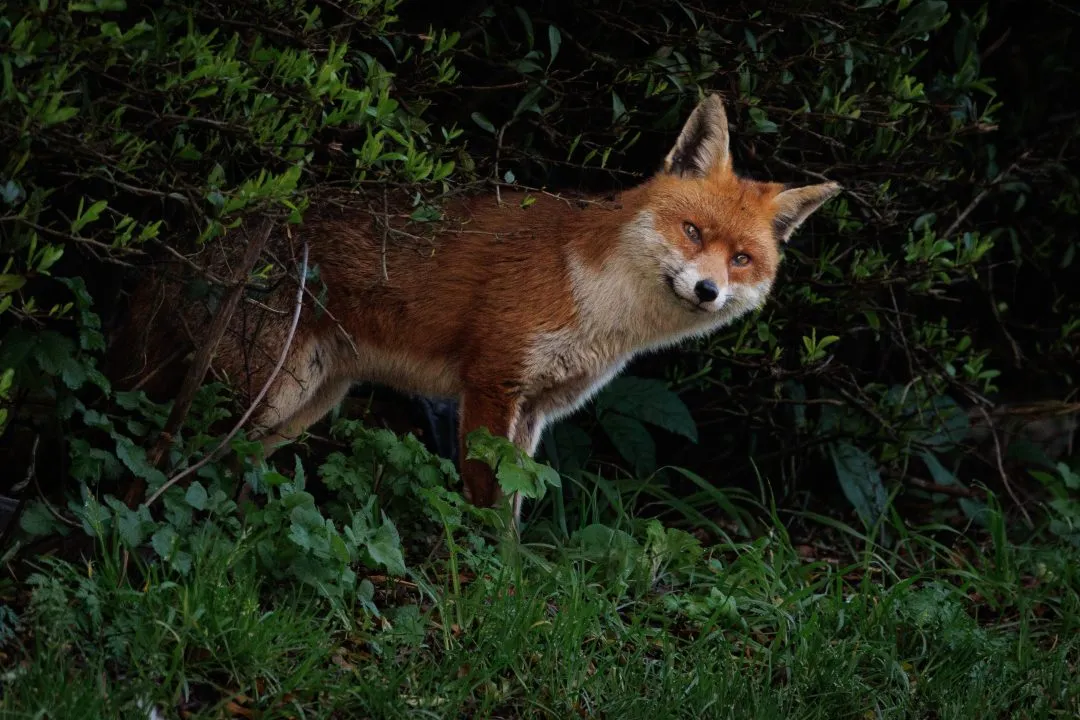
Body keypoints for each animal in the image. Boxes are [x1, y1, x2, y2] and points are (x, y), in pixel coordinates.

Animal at [116, 94, 840, 521]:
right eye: (692, 232)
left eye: (740, 258)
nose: (707, 290)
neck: (600, 307)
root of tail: (193, 242)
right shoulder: (491, 385)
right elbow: (484, 506)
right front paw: (478, 590)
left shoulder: (537, 412)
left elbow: (512, 514)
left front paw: (507, 593)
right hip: (259, 394)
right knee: (165, 454)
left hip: (303, 404)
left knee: (228, 467)